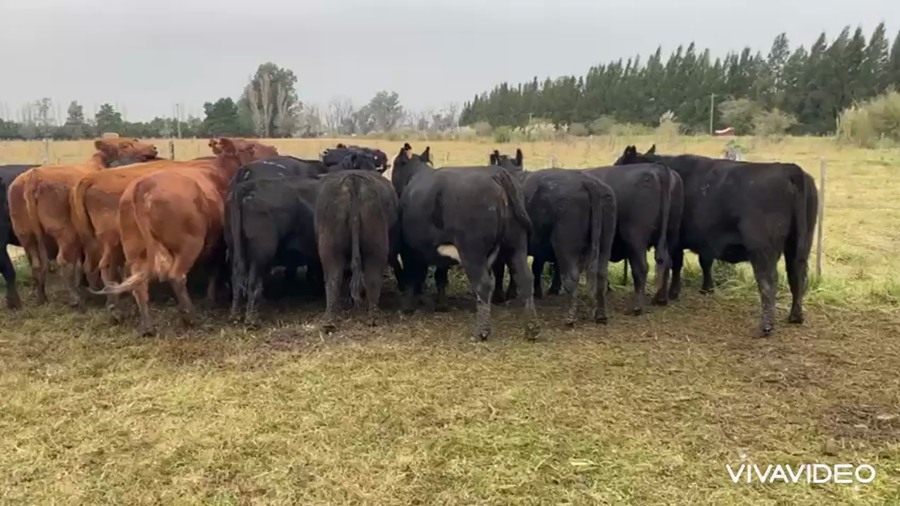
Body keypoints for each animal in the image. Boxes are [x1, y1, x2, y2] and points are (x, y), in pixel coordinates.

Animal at [8, 138, 158, 307]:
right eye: (125, 145)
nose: (153, 148)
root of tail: (34, 175)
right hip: (66, 233)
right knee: (65, 262)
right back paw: (78, 298)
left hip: (25, 234)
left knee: (37, 264)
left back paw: (42, 297)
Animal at [72, 140, 278, 322]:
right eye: (251, 147)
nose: (274, 150)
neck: (218, 172)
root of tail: (142, 186)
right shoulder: (218, 241)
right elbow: (214, 269)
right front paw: (210, 299)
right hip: (187, 245)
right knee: (175, 276)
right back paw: (190, 316)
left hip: (126, 246)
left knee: (126, 276)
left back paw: (136, 320)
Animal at [393, 145, 539, 340]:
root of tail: (496, 173)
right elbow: (440, 276)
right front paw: (441, 305)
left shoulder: (409, 249)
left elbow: (412, 276)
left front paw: (407, 307)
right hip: (516, 245)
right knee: (525, 280)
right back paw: (532, 328)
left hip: (472, 251)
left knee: (484, 284)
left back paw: (482, 331)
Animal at [614, 144, 818, 336]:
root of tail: (790, 169)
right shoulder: (704, 241)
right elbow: (704, 262)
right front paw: (707, 288)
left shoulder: (676, 239)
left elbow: (675, 264)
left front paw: (671, 294)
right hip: (800, 245)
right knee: (797, 275)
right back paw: (796, 316)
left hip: (762, 248)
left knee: (768, 282)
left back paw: (766, 326)